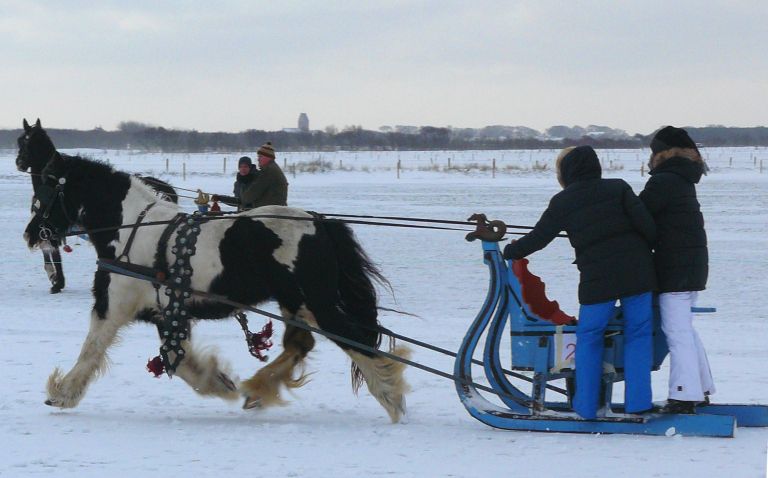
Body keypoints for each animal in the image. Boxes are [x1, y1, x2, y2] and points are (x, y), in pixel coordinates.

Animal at [16, 117, 178, 294]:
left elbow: (51, 251)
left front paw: (56, 280)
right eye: (20, 141)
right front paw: (56, 279)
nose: (19, 162)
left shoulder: (52, 226)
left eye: (33, 141)